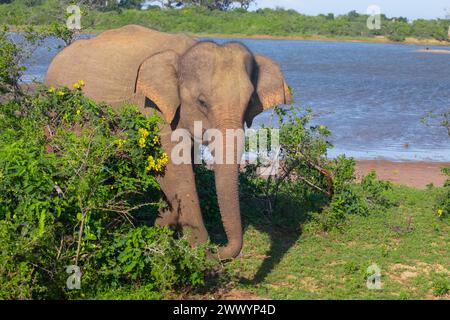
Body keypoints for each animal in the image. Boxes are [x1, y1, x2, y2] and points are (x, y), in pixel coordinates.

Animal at [45, 24, 292, 260]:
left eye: (249, 102)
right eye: (202, 102)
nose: (219, 250)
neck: (184, 52)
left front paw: (160, 226)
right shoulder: (152, 106)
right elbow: (175, 169)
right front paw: (201, 255)